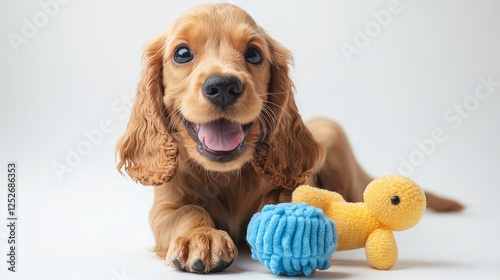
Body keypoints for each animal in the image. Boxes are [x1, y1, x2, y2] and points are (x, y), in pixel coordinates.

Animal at [115, 2, 462, 274]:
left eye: (253, 54)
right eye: (182, 53)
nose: (224, 86)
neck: (227, 176)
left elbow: (289, 195)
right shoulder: (163, 208)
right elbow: (187, 211)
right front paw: (201, 237)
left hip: (333, 135)